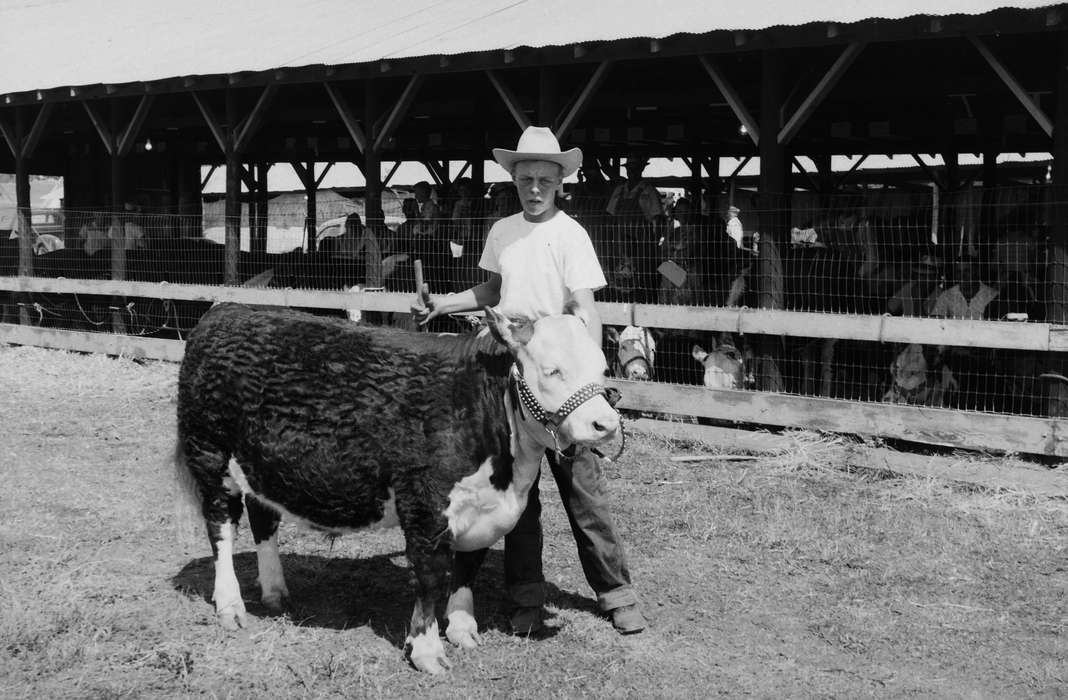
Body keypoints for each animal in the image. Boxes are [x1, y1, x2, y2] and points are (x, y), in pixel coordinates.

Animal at [174, 302, 621, 674]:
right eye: (552, 370)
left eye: (601, 369)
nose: (606, 424)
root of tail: (226, 310)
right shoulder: (424, 506)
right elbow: (431, 577)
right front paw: (427, 651)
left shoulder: (480, 508)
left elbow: (467, 567)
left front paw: (461, 626)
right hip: (209, 456)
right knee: (221, 528)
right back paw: (230, 605)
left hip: (261, 466)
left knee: (263, 520)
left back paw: (275, 591)